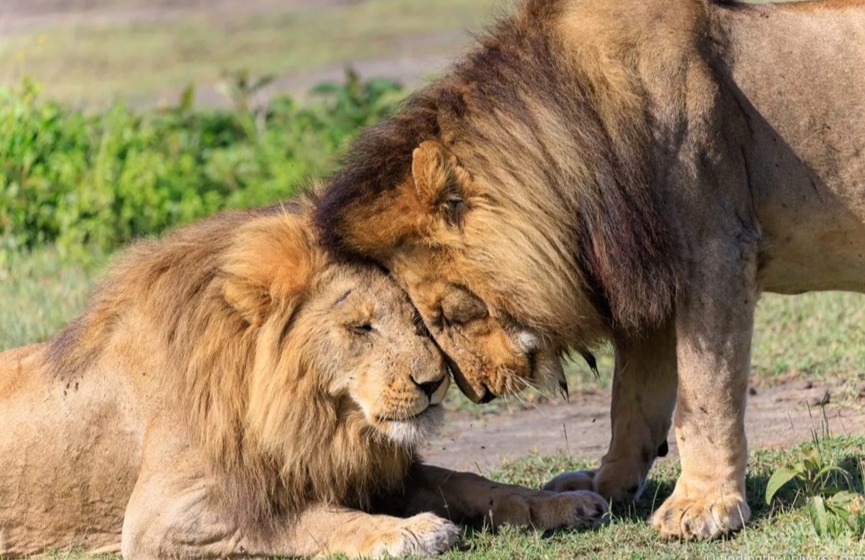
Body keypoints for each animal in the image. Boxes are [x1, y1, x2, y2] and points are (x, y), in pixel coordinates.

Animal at [0, 199, 608, 558]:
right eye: (360, 326)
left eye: (417, 320)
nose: (434, 383)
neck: (315, 418)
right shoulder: (158, 520)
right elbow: (293, 520)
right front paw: (407, 531)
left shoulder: (360, 467)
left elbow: (471, 482)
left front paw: (562, 504)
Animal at [313, 0, 865, 541]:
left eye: (449, 313)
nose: (480, 394)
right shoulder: (645, 278)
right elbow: (633, 400)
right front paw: (607, 485)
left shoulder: (717, 251)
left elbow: (706, 393)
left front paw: (702, 506)